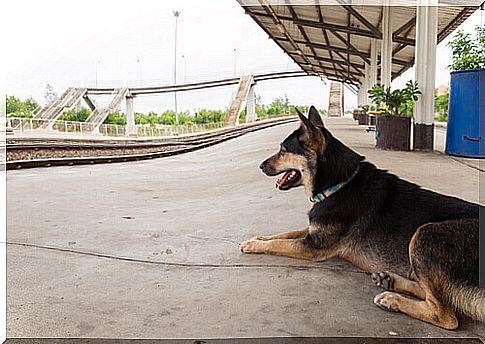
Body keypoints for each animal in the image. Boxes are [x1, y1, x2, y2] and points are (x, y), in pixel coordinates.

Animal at [240, 105, 482, 330]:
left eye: (283, 150)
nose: (260, 166)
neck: (340, 184)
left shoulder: (313, 247)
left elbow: (279, 243)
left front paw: (254, 245)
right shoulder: (313, 231)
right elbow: (283, 234)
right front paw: (258, 238)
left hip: (425, 234)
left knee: (445, 315)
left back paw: (393, 299)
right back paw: (391, 280)